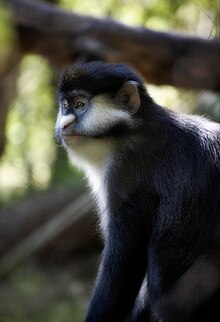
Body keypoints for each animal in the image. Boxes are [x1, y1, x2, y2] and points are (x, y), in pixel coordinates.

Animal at [55, 61, 220, 320]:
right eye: (65, 106)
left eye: (80, 105)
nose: (64, 124)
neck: (128, 132)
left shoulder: (125, 175)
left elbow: (124, 261)